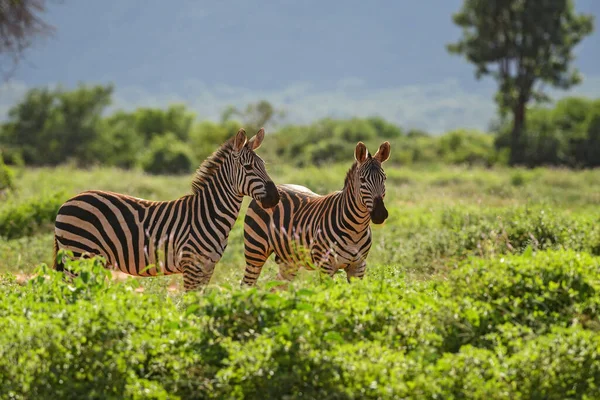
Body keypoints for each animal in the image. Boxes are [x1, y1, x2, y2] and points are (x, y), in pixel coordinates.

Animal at [52, 128, 280, 290]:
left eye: (264, 165)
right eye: (248, 167)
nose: (275, 197)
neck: (209, 213)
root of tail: (67, 202)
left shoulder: (208, 267)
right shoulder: (191, 265)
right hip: (78, 255)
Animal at [241, 139, 392, 286]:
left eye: (384, 178)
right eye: (362, 180)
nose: (379, 214)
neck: (356, 229)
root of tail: (277, 186)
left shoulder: (358, 267)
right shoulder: (326, 266)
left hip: (289, 260)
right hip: (255, 250)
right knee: (247, 284)